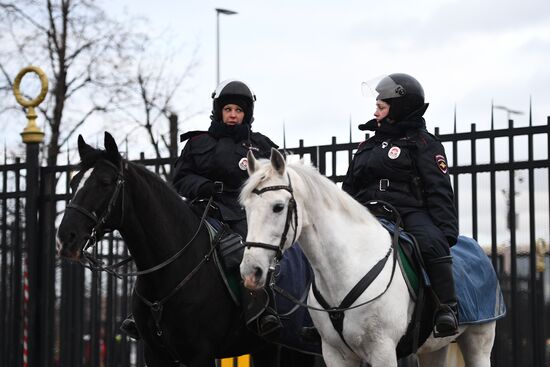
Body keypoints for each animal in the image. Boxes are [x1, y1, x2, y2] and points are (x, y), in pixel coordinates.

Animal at [239, 149, 498, 367]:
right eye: (246, 209)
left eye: (278, 207)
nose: (251, 271)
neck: (346, 267)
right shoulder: (335, 355)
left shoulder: (383, 351)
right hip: (434, 348)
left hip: (479, 341)